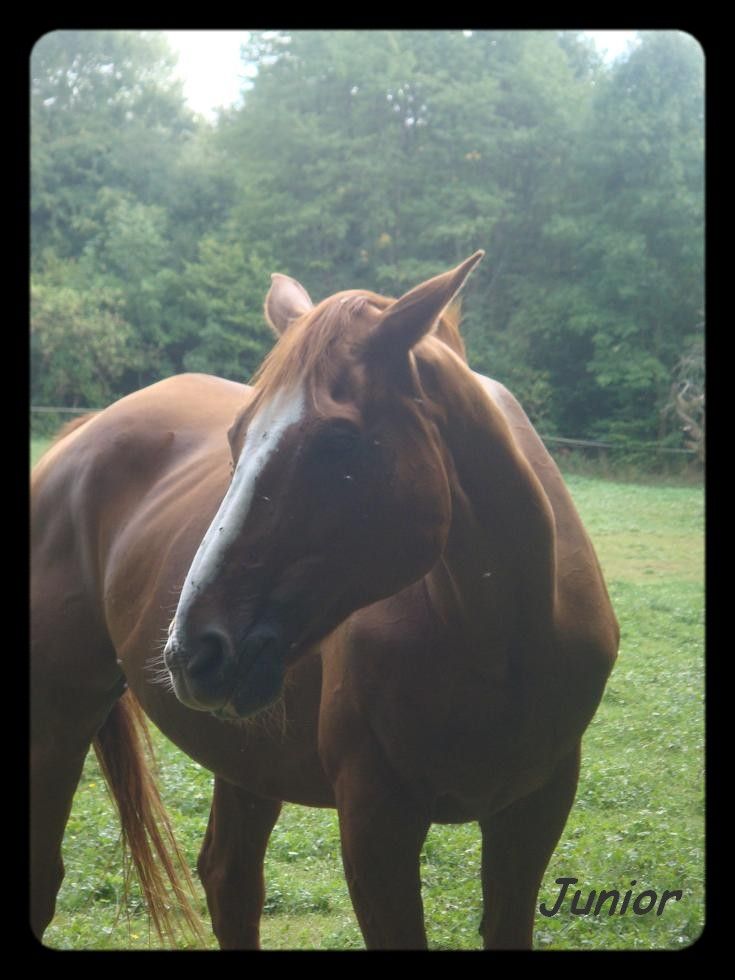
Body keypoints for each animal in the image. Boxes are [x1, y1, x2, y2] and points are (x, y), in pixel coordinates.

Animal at [31, 252, 619, 949]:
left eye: (338, 442)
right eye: (235, 437)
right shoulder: (375, 826)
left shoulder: (534, 815)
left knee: (229, 880)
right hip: (60, 715)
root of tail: (81, 435)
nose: (191, 653)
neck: (503, 638)